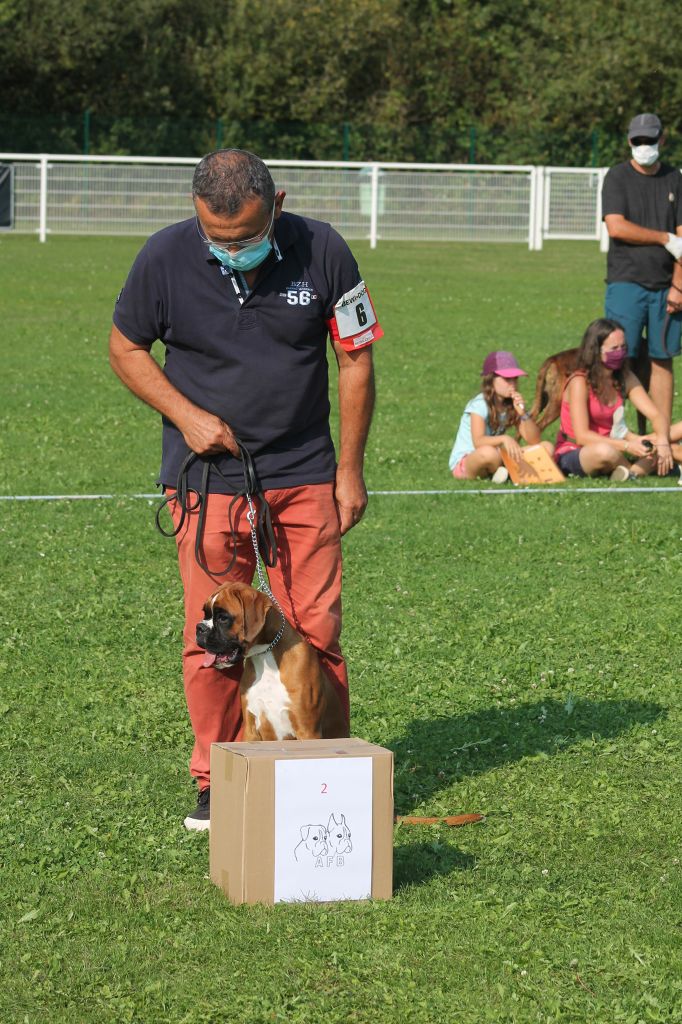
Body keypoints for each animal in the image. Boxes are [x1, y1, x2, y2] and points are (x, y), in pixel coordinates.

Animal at [195, 581, 346, 741]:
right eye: (205, 613)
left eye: (223, 618)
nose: (200, 628)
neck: (265, 656)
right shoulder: (250, 729)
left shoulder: (308, 732)